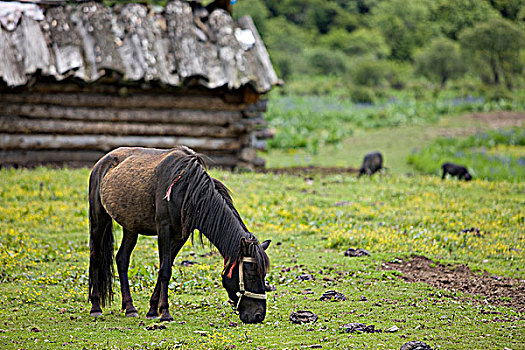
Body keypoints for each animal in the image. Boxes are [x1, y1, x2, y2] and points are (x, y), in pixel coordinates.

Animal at [87, 145, 270, 322]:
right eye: (251, 274)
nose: (258, 315)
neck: (188, 190)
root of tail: (101, 164)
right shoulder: (164, 230)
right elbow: (165, 271)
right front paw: (165, 313)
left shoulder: (180, 236)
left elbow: (164, 269)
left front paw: (153, 310)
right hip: (99, 220)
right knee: (96, 257)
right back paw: (95, 307)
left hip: (131, 227)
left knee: (122, 259)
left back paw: (130, 308)